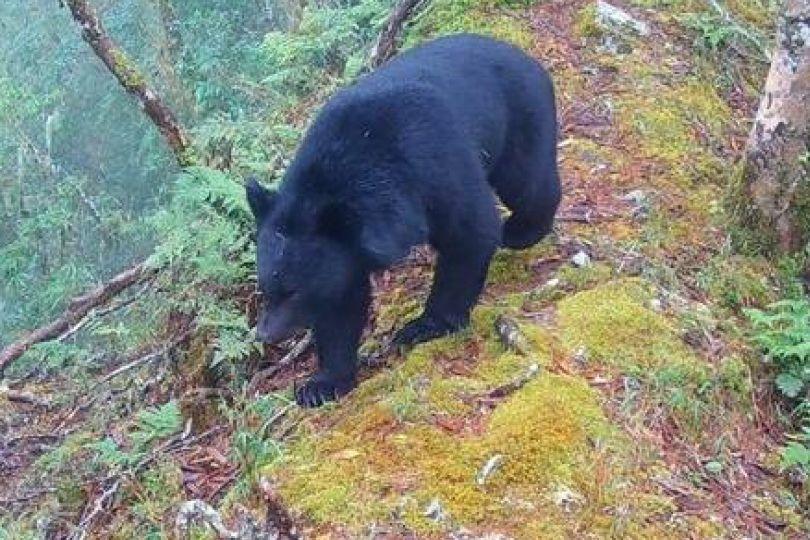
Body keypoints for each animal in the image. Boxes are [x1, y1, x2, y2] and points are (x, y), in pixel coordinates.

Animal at [247, 33, 560, 407]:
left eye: (293, 291)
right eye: (266, 287)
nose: (266, 334)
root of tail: (526, 57)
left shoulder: (435, 168)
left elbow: (470, 231)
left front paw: (422, 326)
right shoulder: (346, 252)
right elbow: (340, 303)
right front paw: (321, 384)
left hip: (518, 118)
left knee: (526, 180)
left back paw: (520, 229)